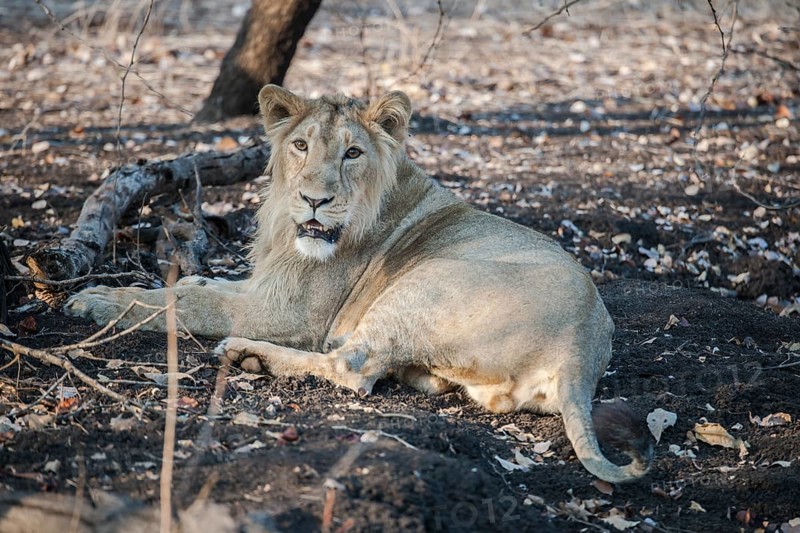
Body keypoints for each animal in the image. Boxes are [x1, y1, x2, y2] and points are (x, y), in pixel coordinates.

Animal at [65, 85, 653, 483]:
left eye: (352, 153)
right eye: (301, 145)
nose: (315, 200)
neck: (286, 228)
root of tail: (583, 350)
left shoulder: (290, 315)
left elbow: (185, 302)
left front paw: (96, 299)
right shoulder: (265, 289)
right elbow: (209, 285)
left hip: (422, 284)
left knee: (353, 368)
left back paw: (246, 355)